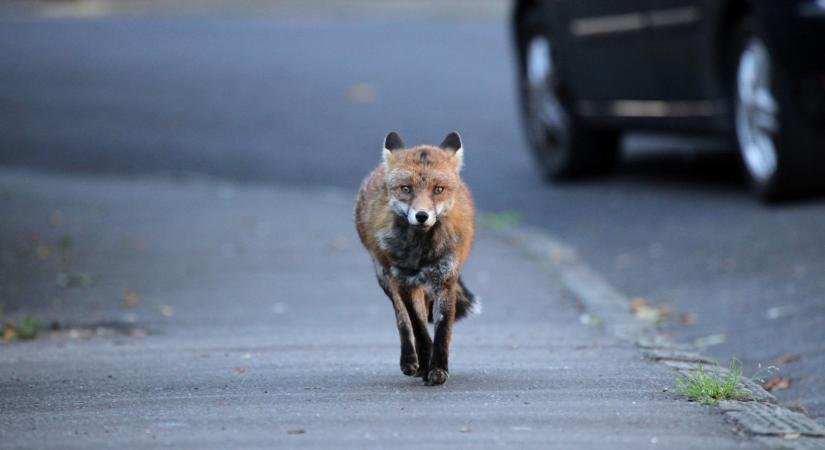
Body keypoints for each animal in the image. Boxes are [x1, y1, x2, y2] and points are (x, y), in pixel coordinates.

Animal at [352, 131, 476, 386]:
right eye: (406, 188)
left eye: (438, 189)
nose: (421, 216)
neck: (422, 252)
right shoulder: (406, 282)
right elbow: (418, 326)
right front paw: (426, 363)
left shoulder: (446, 280)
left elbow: (442, 329)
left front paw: (438, 369)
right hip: (385, 277)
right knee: (402, 319)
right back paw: (411, 360)